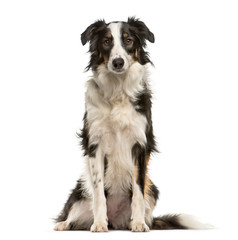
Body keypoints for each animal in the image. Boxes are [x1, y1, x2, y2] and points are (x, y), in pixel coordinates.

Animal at [54, 17, 210, 232]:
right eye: (106, 42)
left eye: (128, 40)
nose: (118, 62)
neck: (118, 90)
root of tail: (115, 220)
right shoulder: (95, 144)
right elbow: (99, 193)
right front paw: (99, 224)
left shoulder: (140, 145)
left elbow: (137, 189)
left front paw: (137, 223)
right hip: (80, 193)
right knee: (75, 213)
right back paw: (64, 224)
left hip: (152, 189)